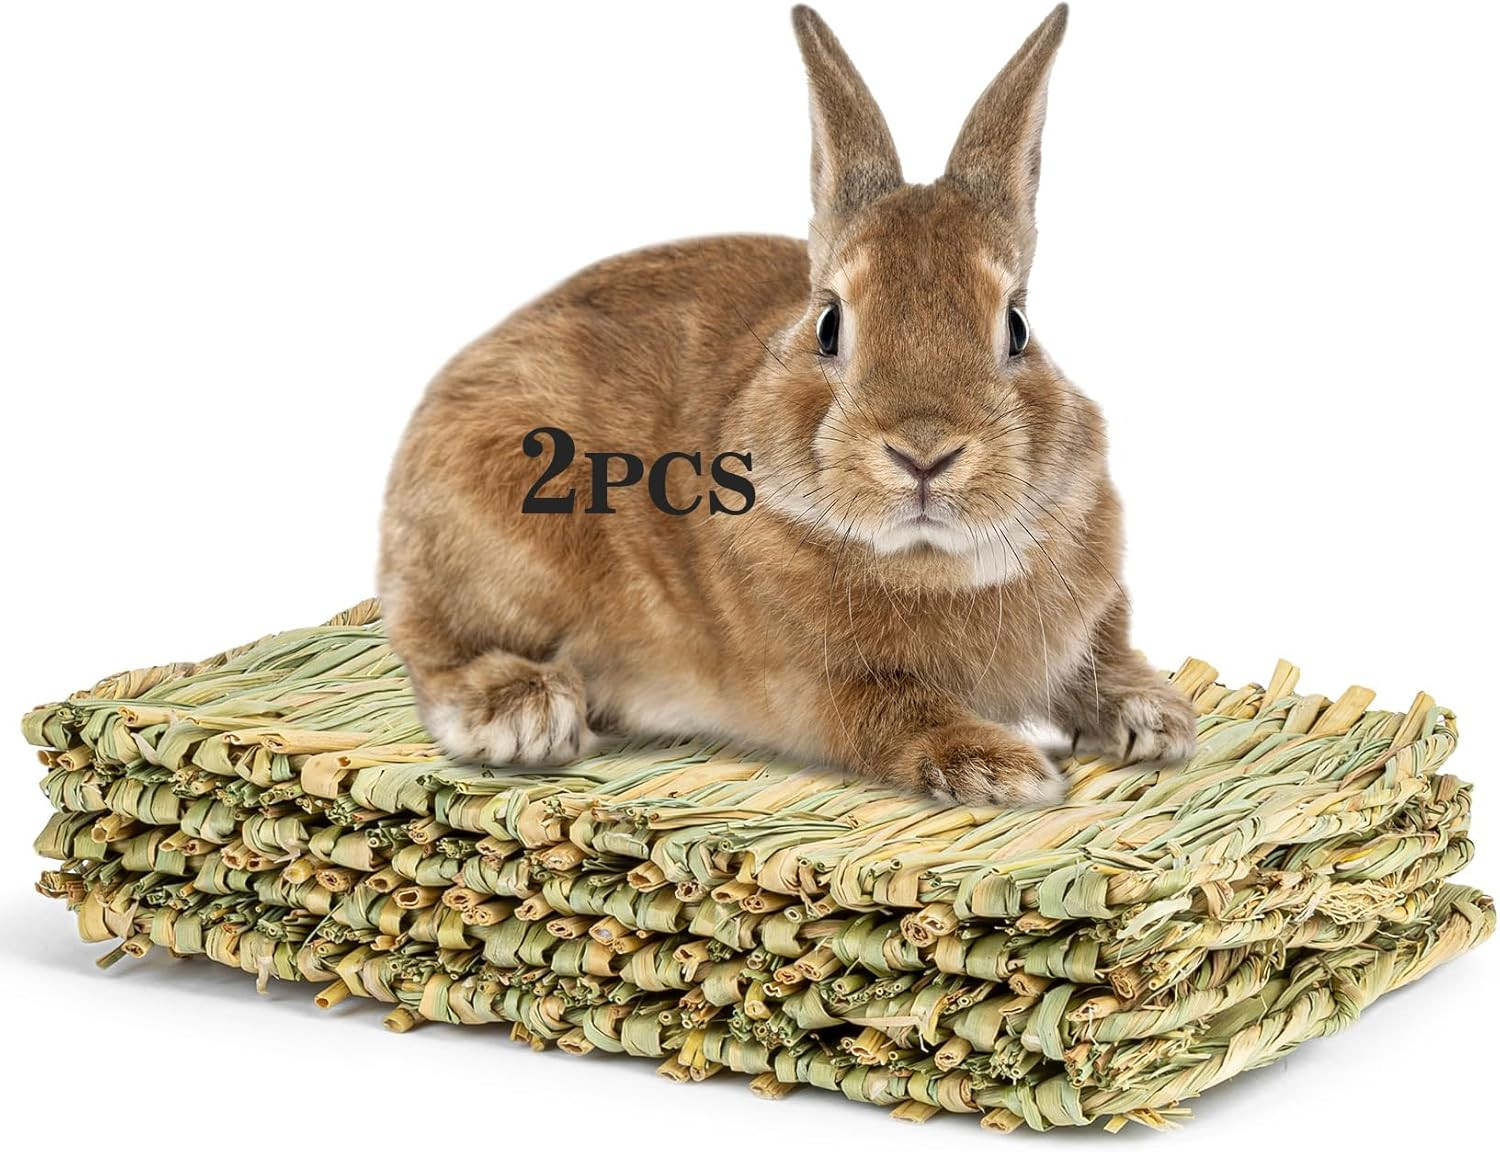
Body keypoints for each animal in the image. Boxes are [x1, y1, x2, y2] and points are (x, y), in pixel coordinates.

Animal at [378, 3, 1196, 807]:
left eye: (1018, 327)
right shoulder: (818, 686)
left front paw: (1157, 719)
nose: (924, 453)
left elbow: (1101, 661)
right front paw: (1005, 769)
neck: (931, 563)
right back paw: (522, 712)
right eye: (829, 324)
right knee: (431, 648)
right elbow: (895, 712)